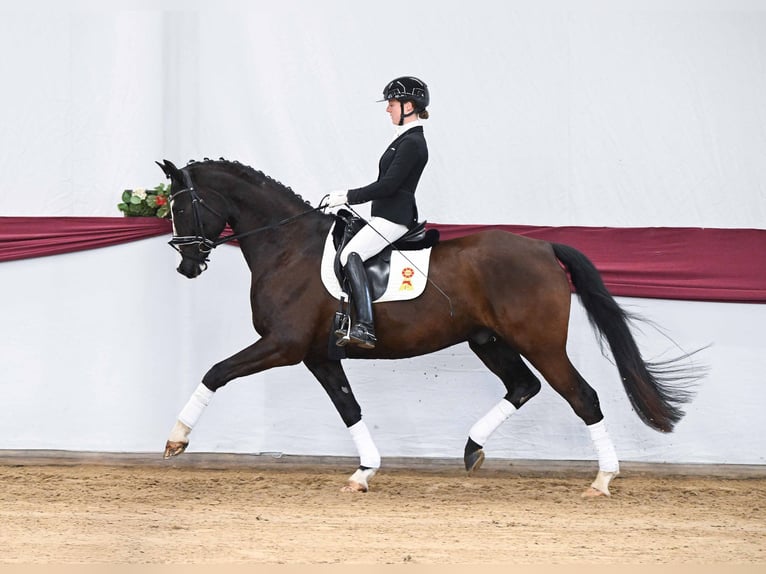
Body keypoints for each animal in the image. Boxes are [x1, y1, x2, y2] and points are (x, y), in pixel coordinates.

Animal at [157, 158, 700, 497]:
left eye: (181, 206)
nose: (186, 264)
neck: (288, 247)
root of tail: (544, 246)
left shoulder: (283, 345)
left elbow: (215, 371)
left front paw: (176, 440)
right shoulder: (319, 354)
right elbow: (349, 408)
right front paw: (364, 473)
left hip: (540, 341)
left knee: (582, 397)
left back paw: (603, 480)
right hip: (488, 340)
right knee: (523, 386)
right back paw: (472, 449)